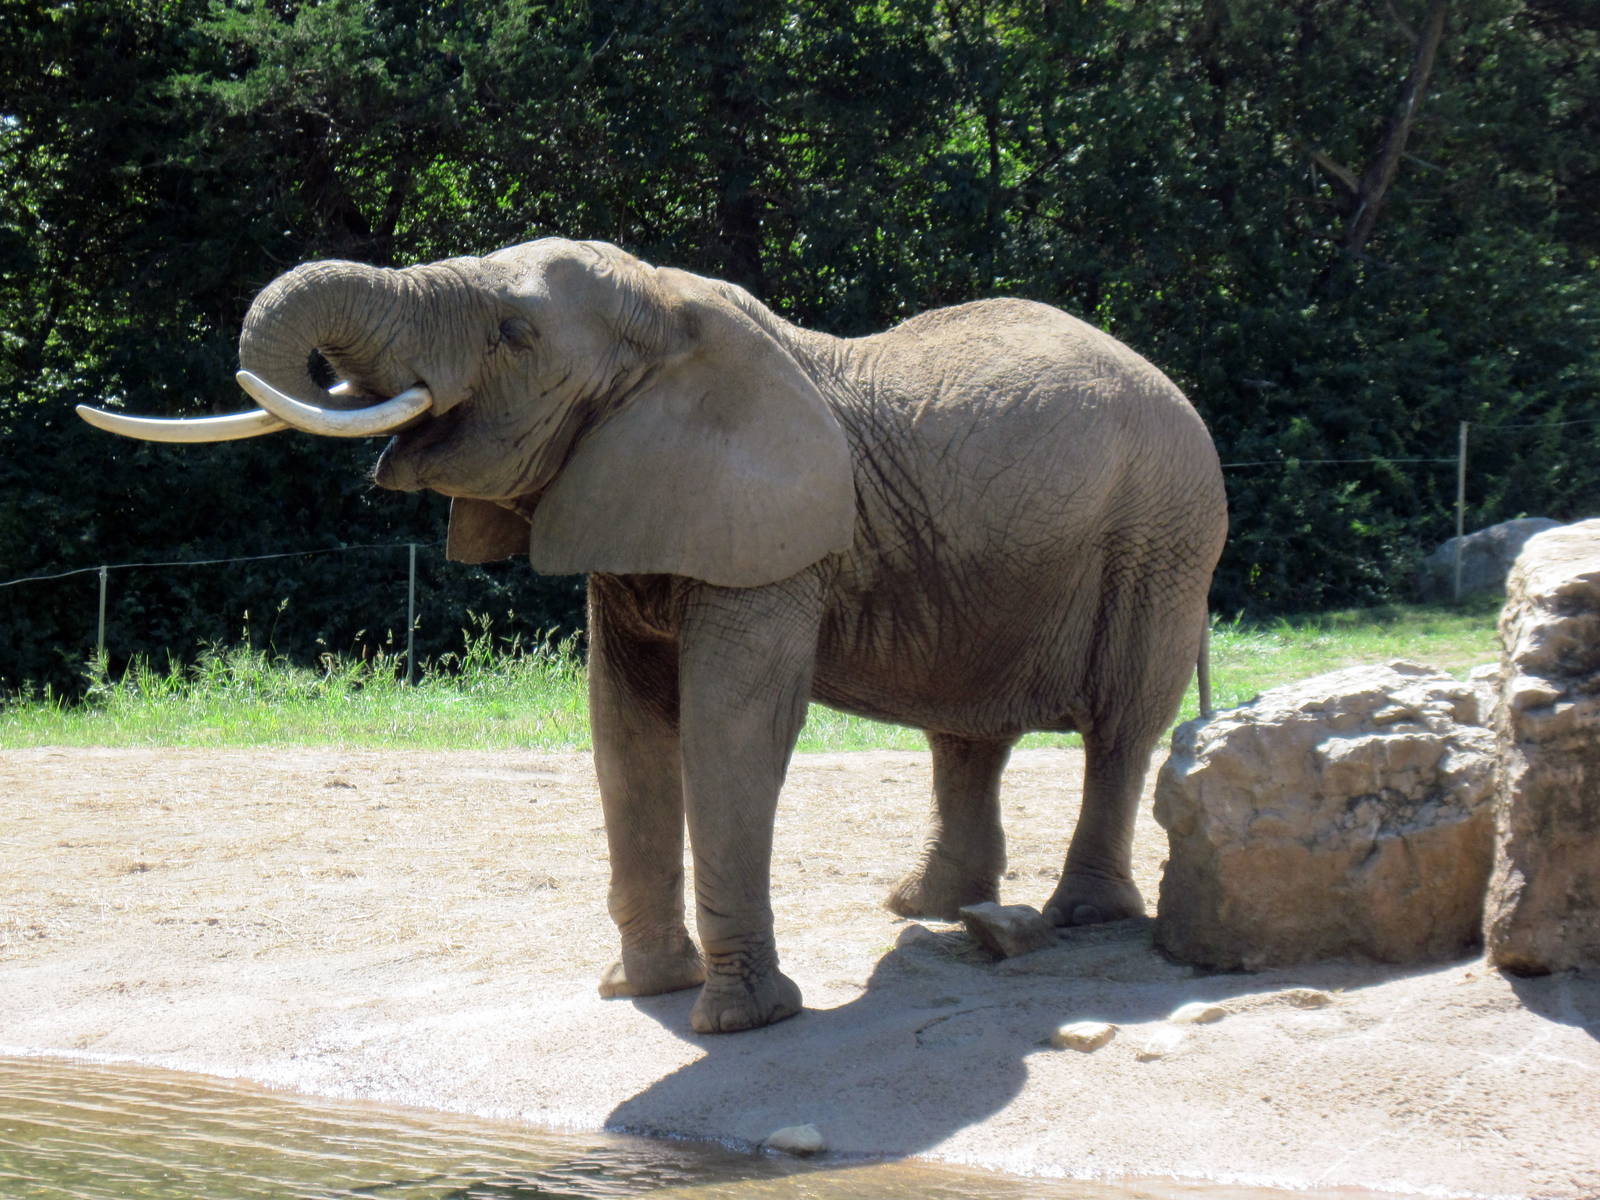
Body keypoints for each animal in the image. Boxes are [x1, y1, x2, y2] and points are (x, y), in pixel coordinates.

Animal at [79, 237, 1228, 1034]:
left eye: (514, 335)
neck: (675, 315)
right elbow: (625, 731)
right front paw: (640, 992)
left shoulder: (769, 543)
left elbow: (731, 729)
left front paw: (744, 1022)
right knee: (966, 736)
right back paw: (926, 906)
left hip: (1161, 540)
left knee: (1120, 727)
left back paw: (1081, 918)